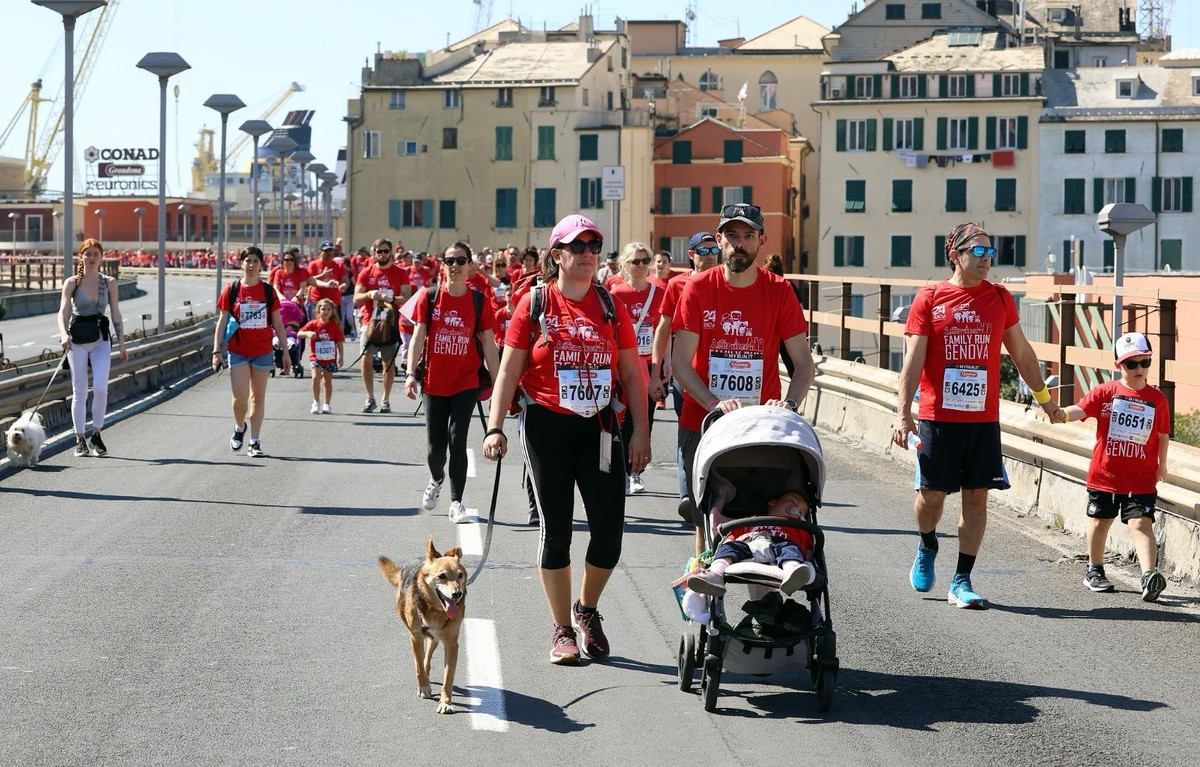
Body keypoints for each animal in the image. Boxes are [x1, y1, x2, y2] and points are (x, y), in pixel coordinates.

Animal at [376, 540, 465, 715]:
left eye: (460, 575)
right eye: (442, 576)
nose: (457, 594)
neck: (436, 610)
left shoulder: (451, 644)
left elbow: (448, 677)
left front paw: (446, 703)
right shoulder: (415, 637)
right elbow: (418, 665)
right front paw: (423, 687)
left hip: (435, 638)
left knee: (428, 654)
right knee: (421, 659)